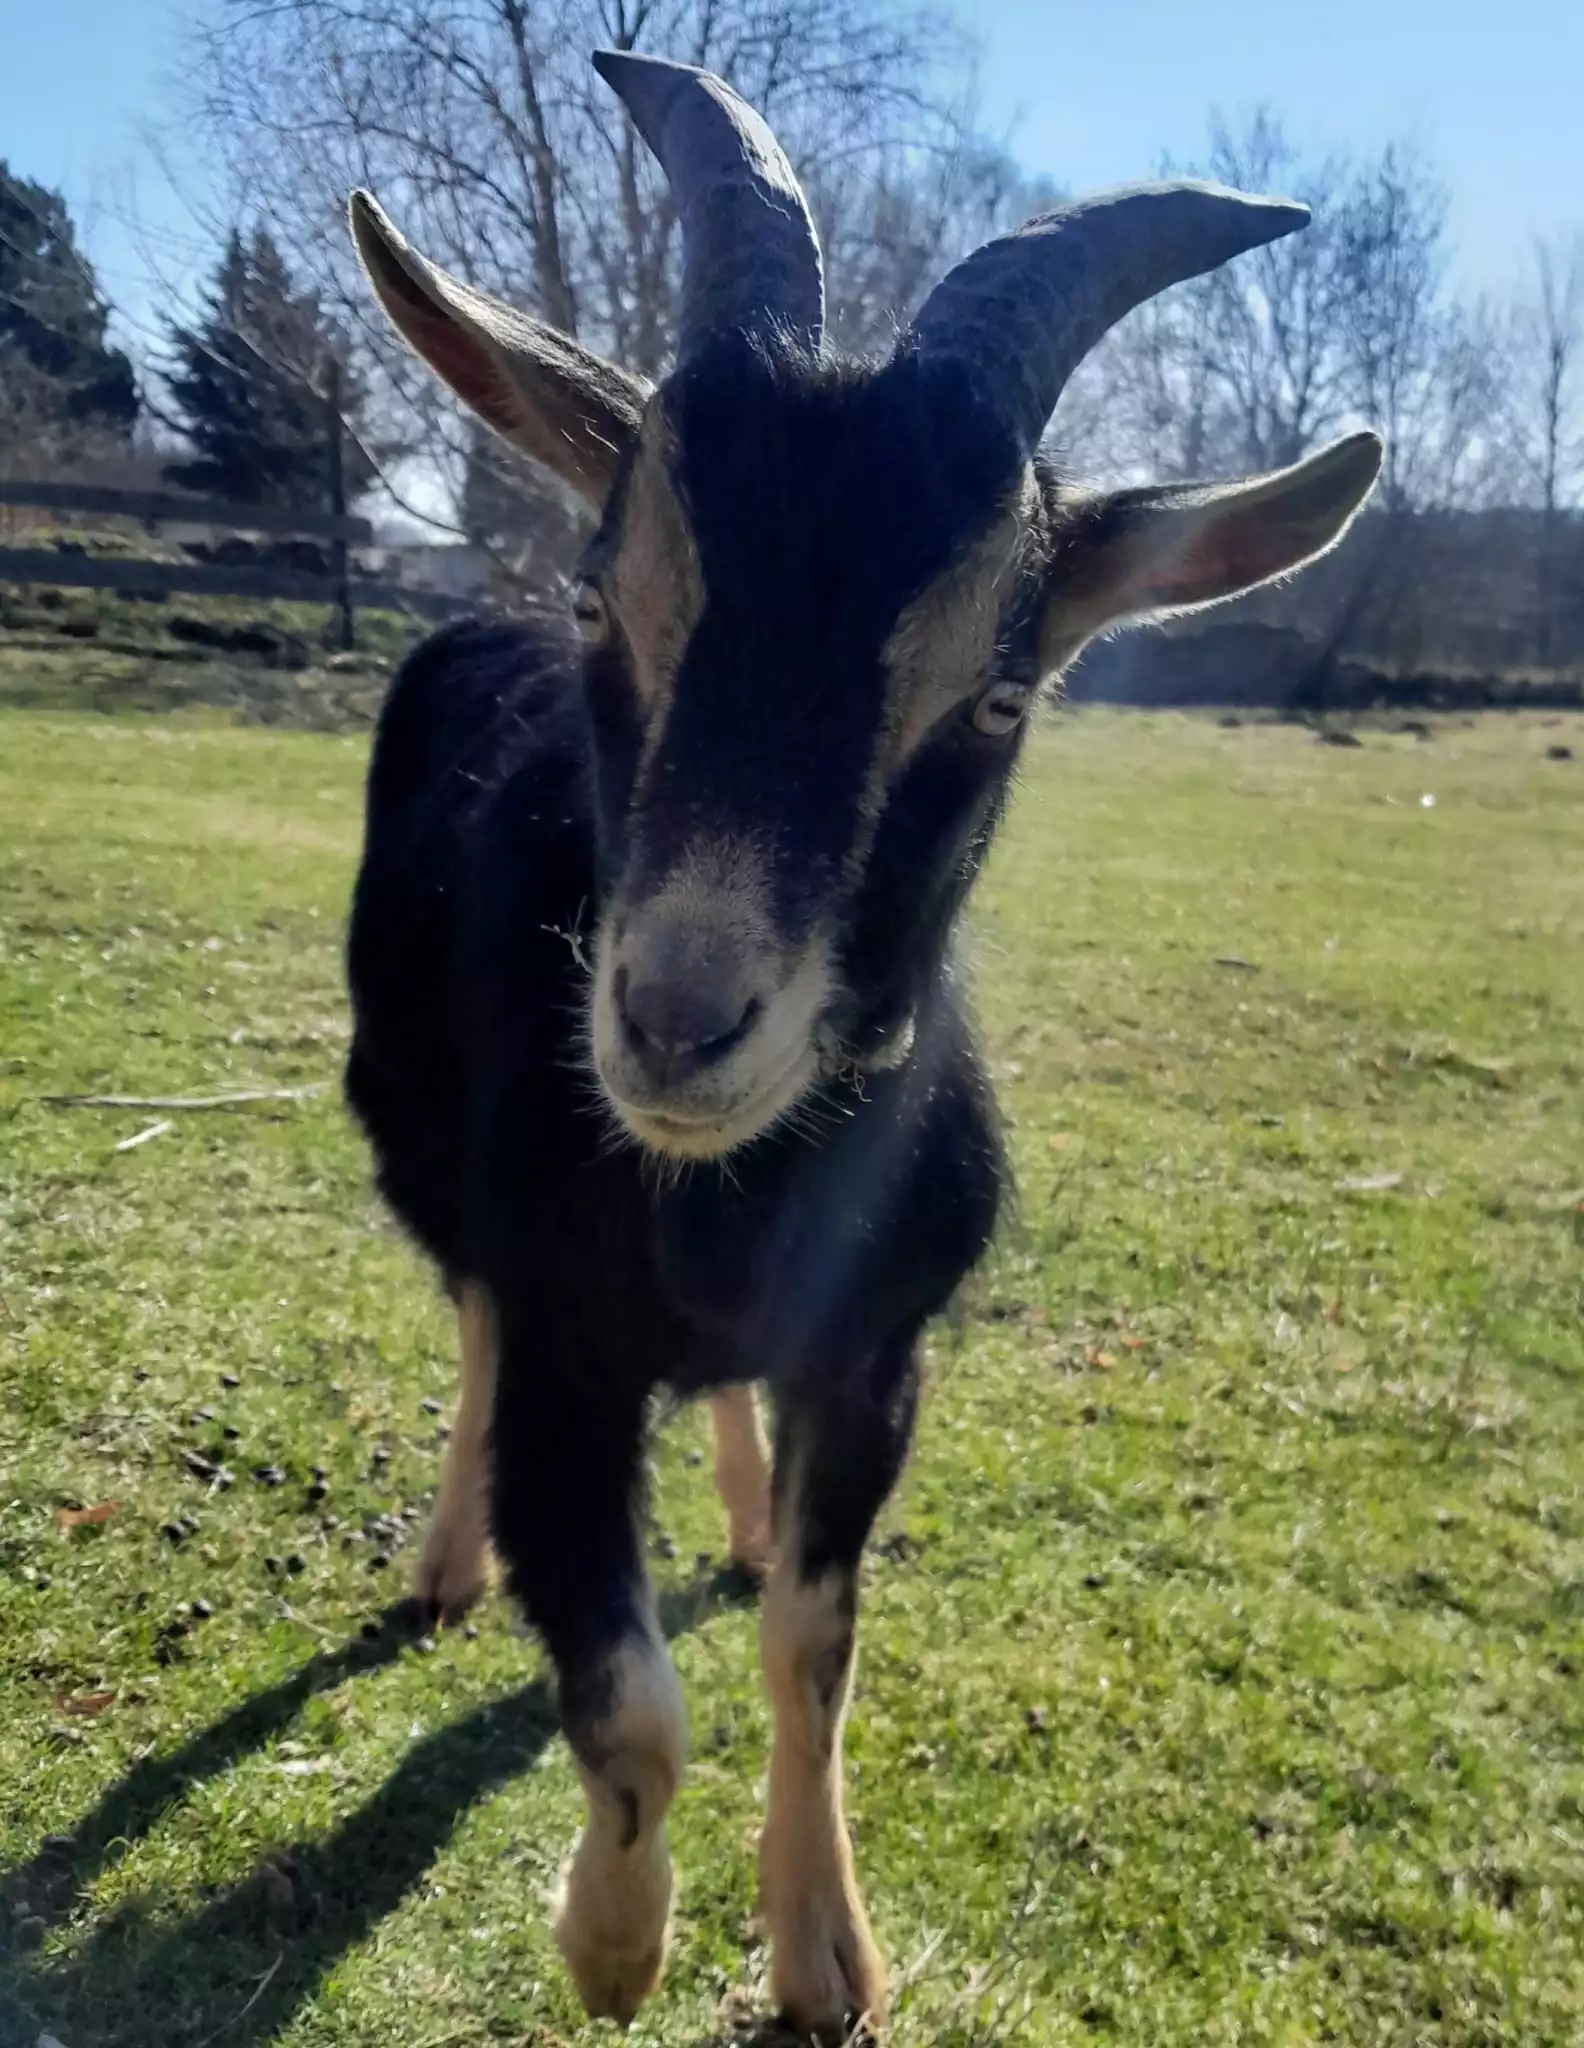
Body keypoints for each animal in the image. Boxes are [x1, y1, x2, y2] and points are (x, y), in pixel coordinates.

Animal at [344, 48, 1381, 2039]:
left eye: (997, 692)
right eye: (608, 605)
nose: (677, 1023)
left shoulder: (882, 1351)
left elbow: (811, 1645)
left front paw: (825, 1948)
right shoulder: (572, 1346)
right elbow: (627, 1694)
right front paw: (614, 1943)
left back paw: (742, 1510)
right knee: (466, 1325)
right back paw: (440, 1559)